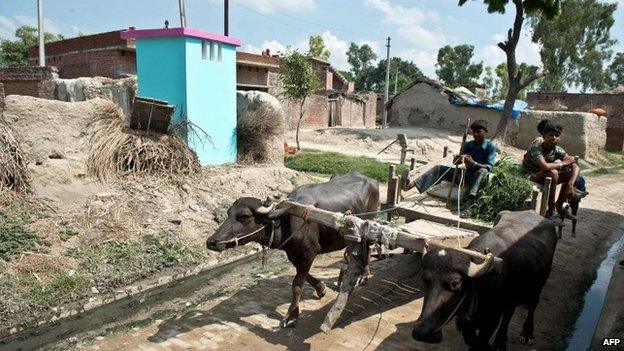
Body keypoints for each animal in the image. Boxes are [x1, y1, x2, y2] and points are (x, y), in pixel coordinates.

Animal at [206, 173, 380, 330]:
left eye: (244, 216)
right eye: (228, 213)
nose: (211, 242)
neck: (288, 220)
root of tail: (372, 180)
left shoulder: (309, 252)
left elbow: (297, 285)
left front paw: (291, 317)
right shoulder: (293, 253)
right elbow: (304, 276)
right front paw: (321, 288)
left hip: (369, 228)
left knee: (367, 250)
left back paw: (364, 276)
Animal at [412, 210, 560, 350]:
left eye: (455, 283)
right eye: (424, 279)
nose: (422, 332)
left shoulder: (492, 320)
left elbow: (479, 343)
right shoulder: (466, 321)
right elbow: (471, 339)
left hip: (539, 286)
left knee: (532, 306)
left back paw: (527, 334)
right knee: (509, 313)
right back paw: (500, 342)